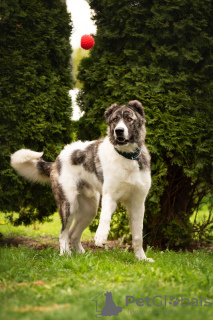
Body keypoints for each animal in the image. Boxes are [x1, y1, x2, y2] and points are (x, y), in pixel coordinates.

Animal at [10, 100, 154, 262]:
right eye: (115, 120)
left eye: (129, 119)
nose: (119, 131)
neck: (128, 157)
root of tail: (56, 161)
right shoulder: (110, 195)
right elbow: (105, 217)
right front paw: (100, 236)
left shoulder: (138, 203)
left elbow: (138, 236)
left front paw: (142, 258)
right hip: (68, 204)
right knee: (63, 233)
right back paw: (65, 253)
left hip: (89, 210)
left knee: (73, 234)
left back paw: (80, 254)